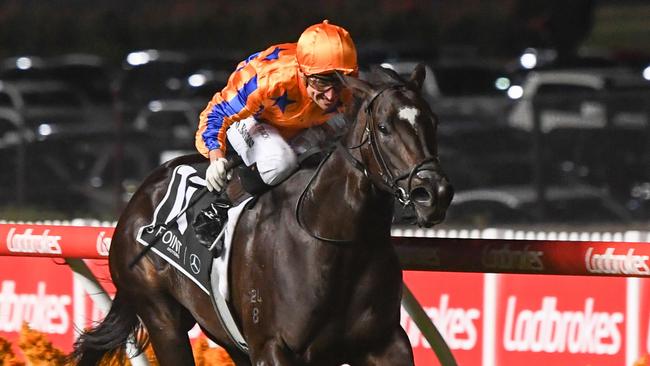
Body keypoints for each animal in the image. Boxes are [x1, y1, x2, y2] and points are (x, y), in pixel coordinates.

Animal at [72, 63, 450, 366]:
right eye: (384, 127)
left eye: (433, 121)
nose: (434, 193)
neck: (337, 241)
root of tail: (139, 197)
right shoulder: (272, 347)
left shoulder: (384, 343)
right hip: (161, 316)